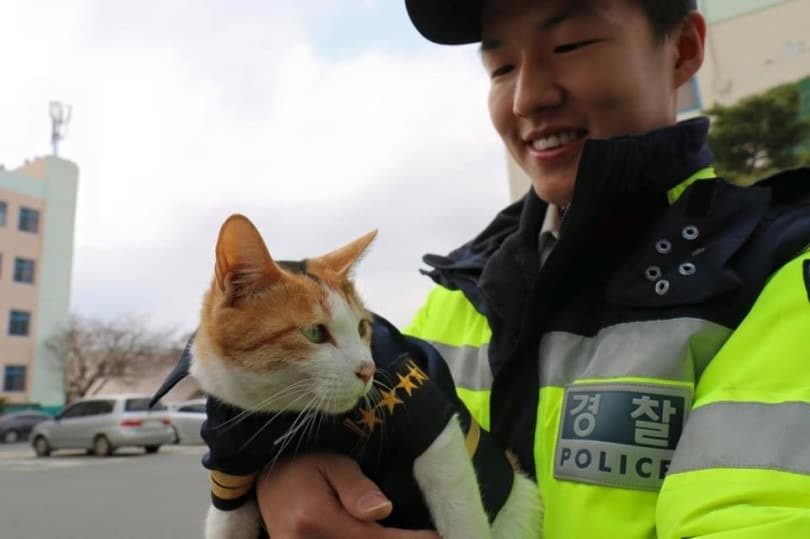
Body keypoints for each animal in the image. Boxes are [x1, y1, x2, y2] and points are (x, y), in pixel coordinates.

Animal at [168, 215, 544, 539]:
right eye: (315, 333)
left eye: (363, 327)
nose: (368, 369)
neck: (282, 415)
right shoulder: (229, 462)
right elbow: (225, 522)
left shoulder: (427, 416)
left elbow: (460, 509)